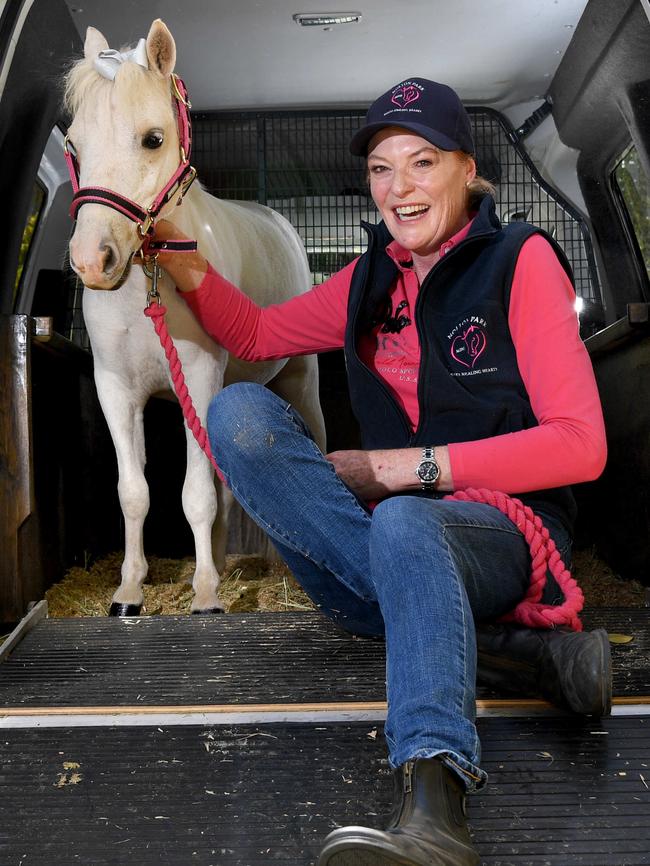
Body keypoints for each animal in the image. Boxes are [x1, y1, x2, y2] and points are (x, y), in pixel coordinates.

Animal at [64, 20, 324, 616]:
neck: (149, 284)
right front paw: (130, 590)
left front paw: (205, 595)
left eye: (153, 139)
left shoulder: (199, 381)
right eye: (74, 144)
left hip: (300, 380)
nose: (92, 260)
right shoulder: (116, 389)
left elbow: (196, 495)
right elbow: (134, 493)